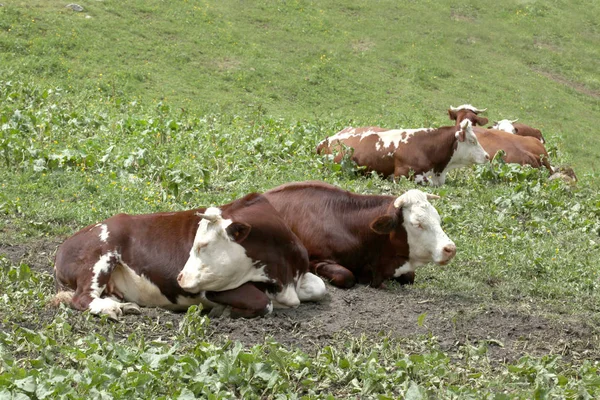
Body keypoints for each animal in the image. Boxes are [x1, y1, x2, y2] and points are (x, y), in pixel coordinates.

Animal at [53, 192, 326, 320]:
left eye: (203, 245)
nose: (180, 277)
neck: (283, 274)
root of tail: (64, 246)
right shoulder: (212, 289)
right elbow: (263, 302)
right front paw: (223, 312)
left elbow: (320, 287)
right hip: (100, 254)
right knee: (81, 298)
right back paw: (110, 308)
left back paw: (125, 305)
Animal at [264, 183, 458, 290]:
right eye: (417, 224)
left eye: (438, 219)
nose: (450, 249)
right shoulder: (316, 259)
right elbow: (346, 276)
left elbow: (410, 277)